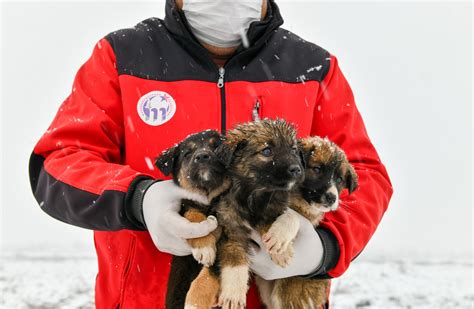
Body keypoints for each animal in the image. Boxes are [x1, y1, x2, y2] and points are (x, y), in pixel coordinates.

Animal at [155, 129, 231, 308]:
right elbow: (194, 218)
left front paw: (195, 301)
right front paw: (204, 246)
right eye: (187, 153)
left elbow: (209, 274)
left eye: (216, 146)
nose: (202, 156)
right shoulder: (189, 205)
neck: (210, 201)